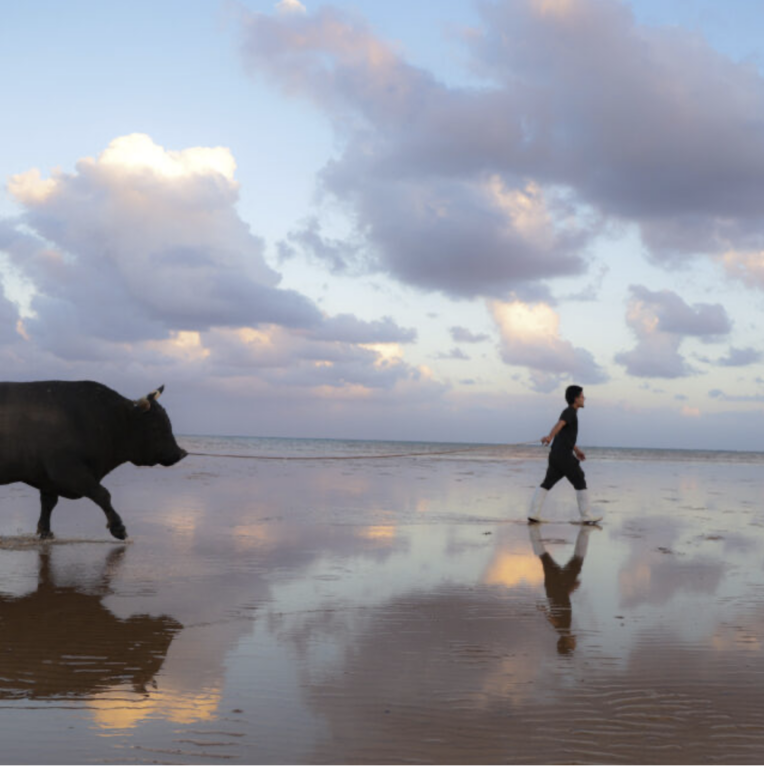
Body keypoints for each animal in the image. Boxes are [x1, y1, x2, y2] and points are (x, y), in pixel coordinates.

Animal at [0, 380, 187, 540]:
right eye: (156, 426)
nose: (181, 453)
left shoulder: (48, 479)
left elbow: (48, 504)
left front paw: (45, 532)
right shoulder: (67, 472)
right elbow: (102, 494)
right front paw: (118, 528)